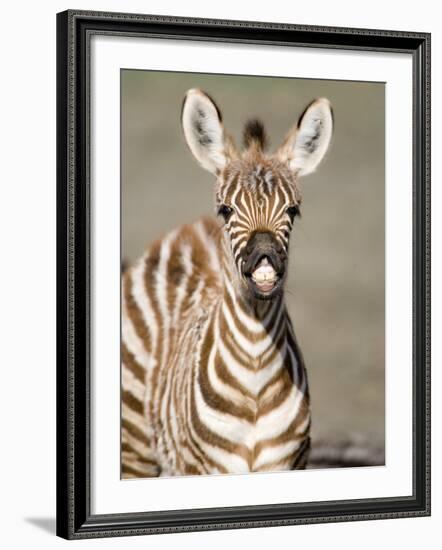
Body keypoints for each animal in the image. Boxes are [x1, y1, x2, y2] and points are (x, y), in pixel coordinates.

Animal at [121, 89, 332, 478]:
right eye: (226, 210)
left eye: (292, 211)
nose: (264, 258)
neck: (255, 374)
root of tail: (189, 229)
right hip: (135, 446)